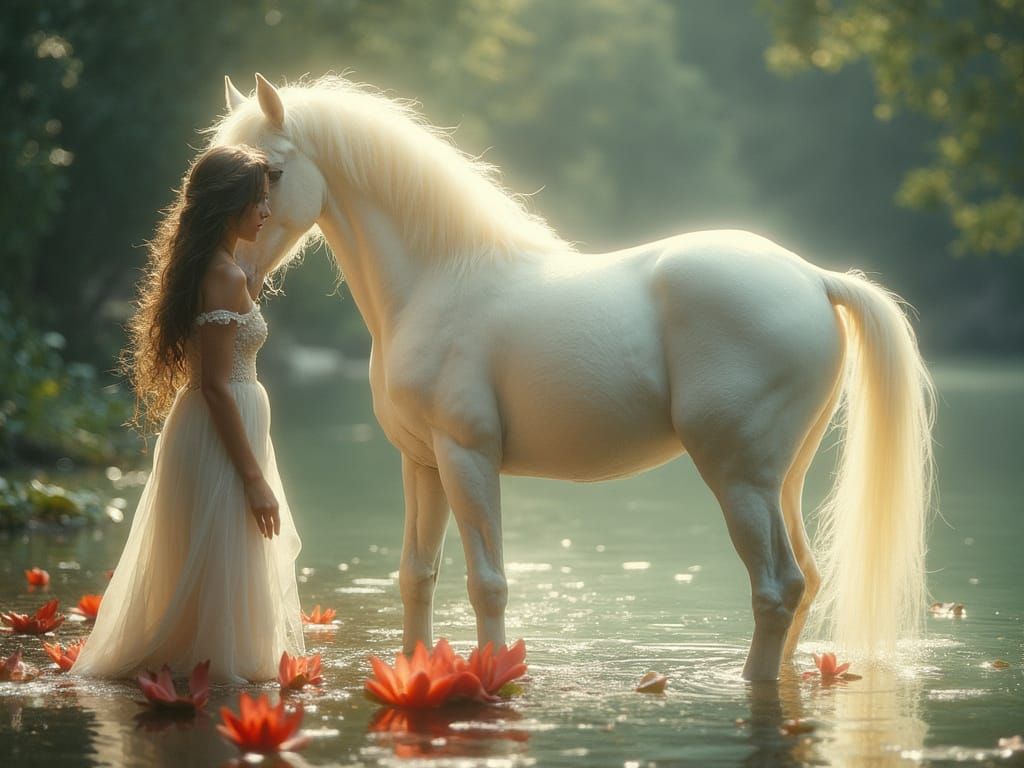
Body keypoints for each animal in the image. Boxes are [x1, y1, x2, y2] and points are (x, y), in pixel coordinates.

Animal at [211, 73, 934, 681]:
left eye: (273, 172)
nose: (234, 277)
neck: (440, 279)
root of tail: (813, 277)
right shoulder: (422, 462)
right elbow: (416, 576)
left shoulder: (467, 454)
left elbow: (488, 582)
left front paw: (491, 675)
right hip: (781, 477)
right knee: (805, 581)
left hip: (737, 476)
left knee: (777, 587)